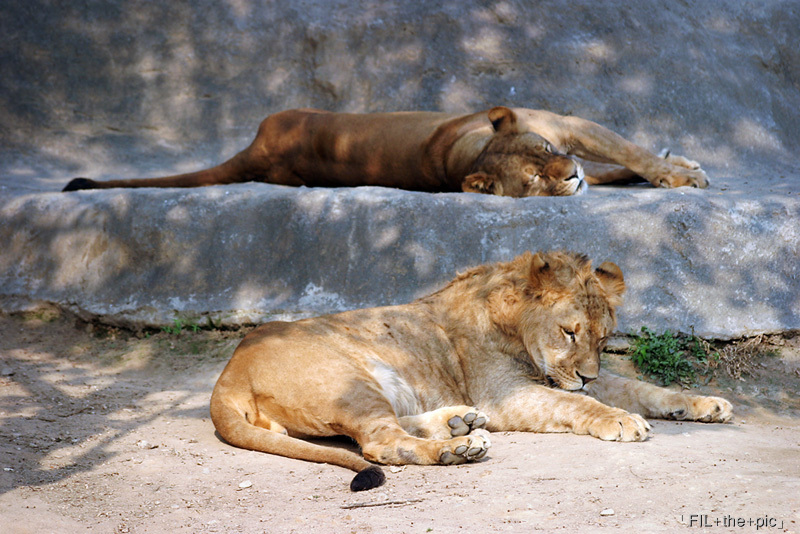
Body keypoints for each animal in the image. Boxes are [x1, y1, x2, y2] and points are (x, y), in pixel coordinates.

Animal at [208, 253, 732, 492]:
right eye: (569, 332)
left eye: (604, 339)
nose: (587, 374)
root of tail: (227, 375)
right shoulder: (506, 395)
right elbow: (576, 402)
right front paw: (619, 420)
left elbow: (644, 388)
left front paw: (707, 405)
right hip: (349, 379)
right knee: (380, 443)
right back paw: (458, 447)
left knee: (377, 429)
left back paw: (458, 421)